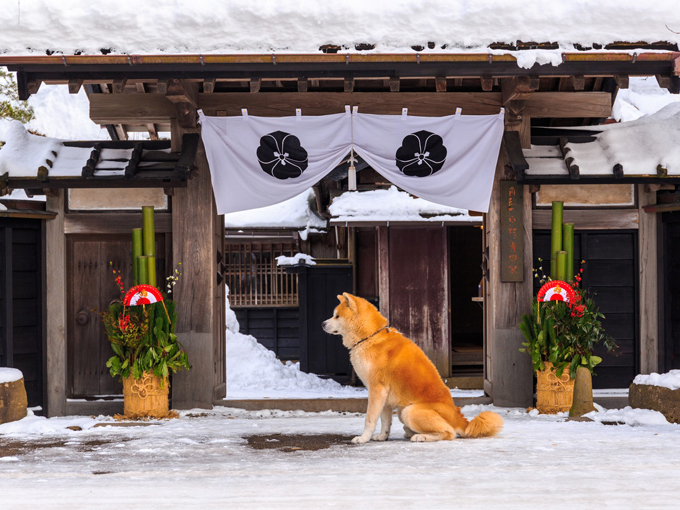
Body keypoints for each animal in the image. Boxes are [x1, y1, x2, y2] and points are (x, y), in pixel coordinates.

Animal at [322, 292, 502, 444]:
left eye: (337, 316)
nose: (323, 323)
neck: (370, 337)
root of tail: (459, 418)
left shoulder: (377, 390)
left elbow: (370, 419)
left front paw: (363, 438)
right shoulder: (384, 396)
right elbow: (385, 420)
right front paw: (382, 436)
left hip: (409, 411)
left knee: (449, 433)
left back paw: (420, 436)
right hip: (403, 411)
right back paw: (410, 432)